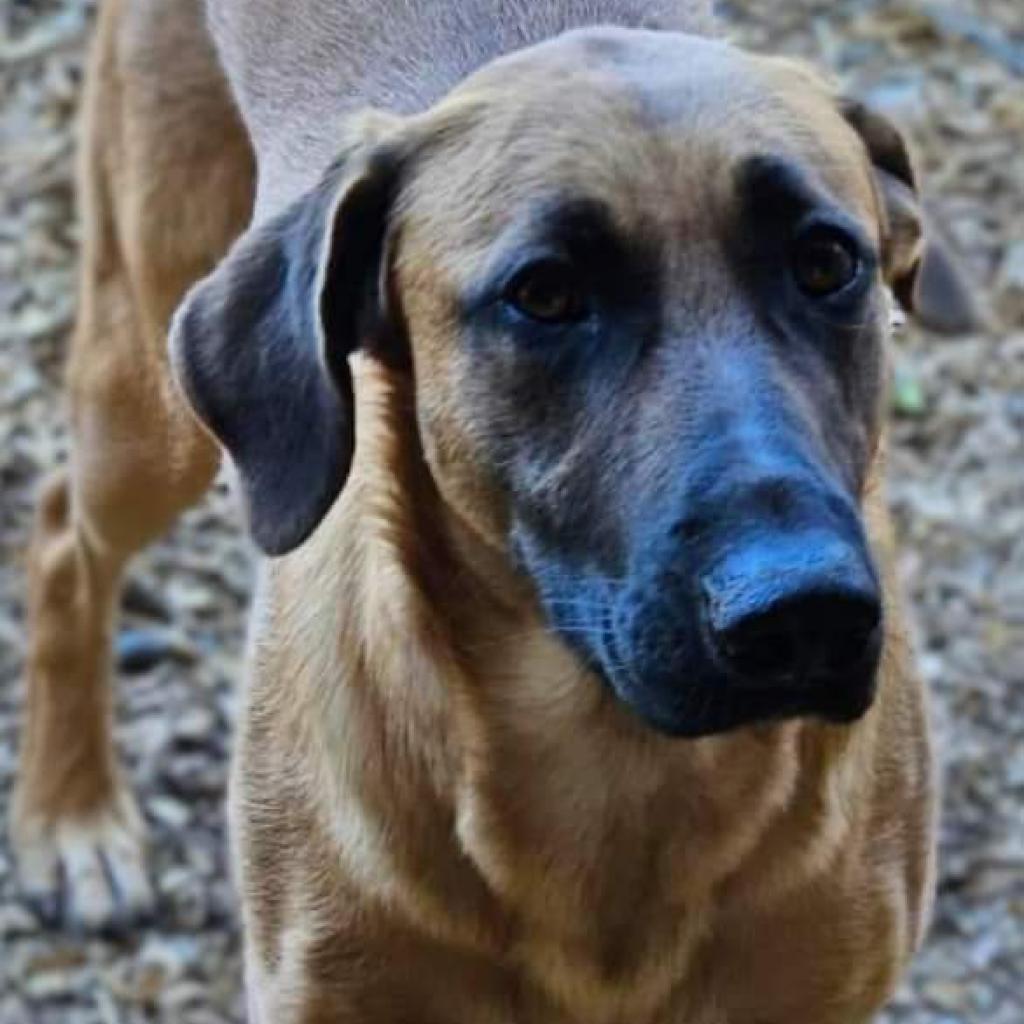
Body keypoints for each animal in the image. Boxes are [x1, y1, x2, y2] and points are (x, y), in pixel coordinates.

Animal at [9, 0, 983, 1015]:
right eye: (544, 294)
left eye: (827, 261)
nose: (802, 615)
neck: (620, 779)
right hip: (148, 387)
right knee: (60, 534)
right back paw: (72, 821)